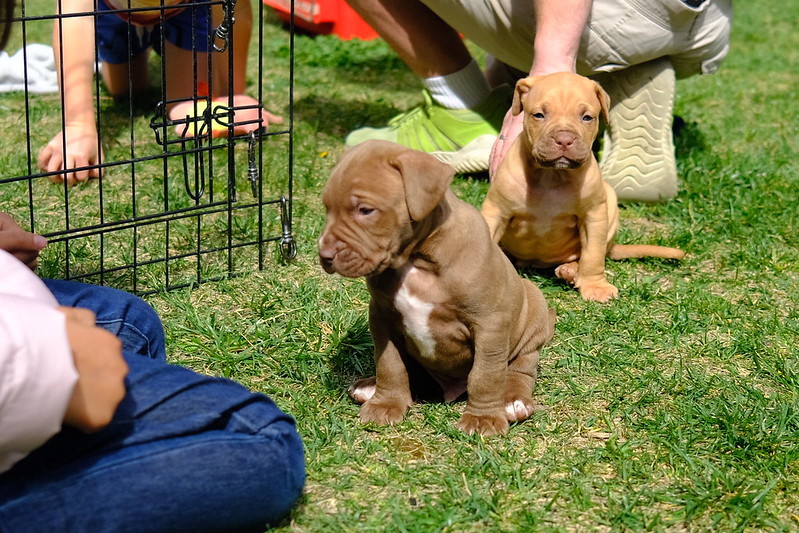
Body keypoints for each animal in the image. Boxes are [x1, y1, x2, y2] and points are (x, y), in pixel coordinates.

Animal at [318, 139, 556, 434]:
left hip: (532, 313)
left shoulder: (490, 323)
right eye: (327, 208)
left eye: (366, 211)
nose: (324, 255)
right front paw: (386, 403)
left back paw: (513, 401)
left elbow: (486, 374)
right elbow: (390, 363)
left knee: (520, 368)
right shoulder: (381, 316)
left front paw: (482, 419)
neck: (416, 259)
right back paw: (369, 387)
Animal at [478, 73, 684, 304]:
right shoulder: (495, 211)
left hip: (610, 203)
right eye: (538, 115)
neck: (552, 176)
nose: (564, 140)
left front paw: (595, 286)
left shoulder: (594, 216)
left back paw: (570, 270)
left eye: (587, 118)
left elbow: (592, 254)